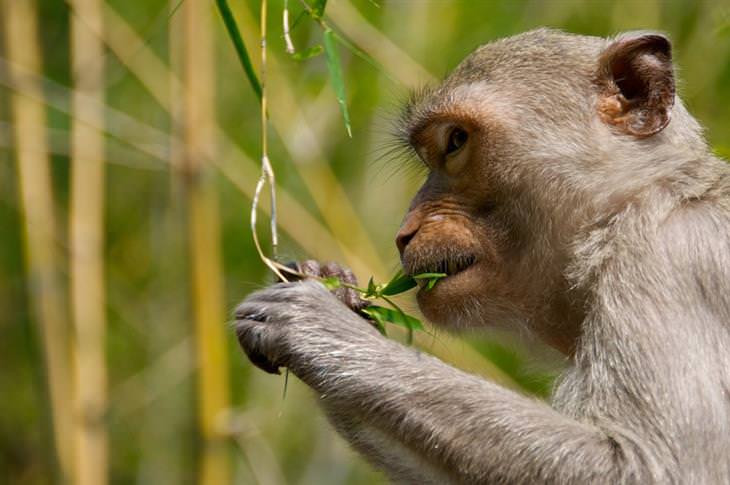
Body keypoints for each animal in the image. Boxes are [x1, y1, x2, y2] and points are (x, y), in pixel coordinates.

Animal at [235, 28, 728, 482]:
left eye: (455, 141)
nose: (403, 233)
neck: (628, 206)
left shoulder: (668, 256)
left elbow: (649, 466)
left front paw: (316, 324)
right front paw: (331, 286)